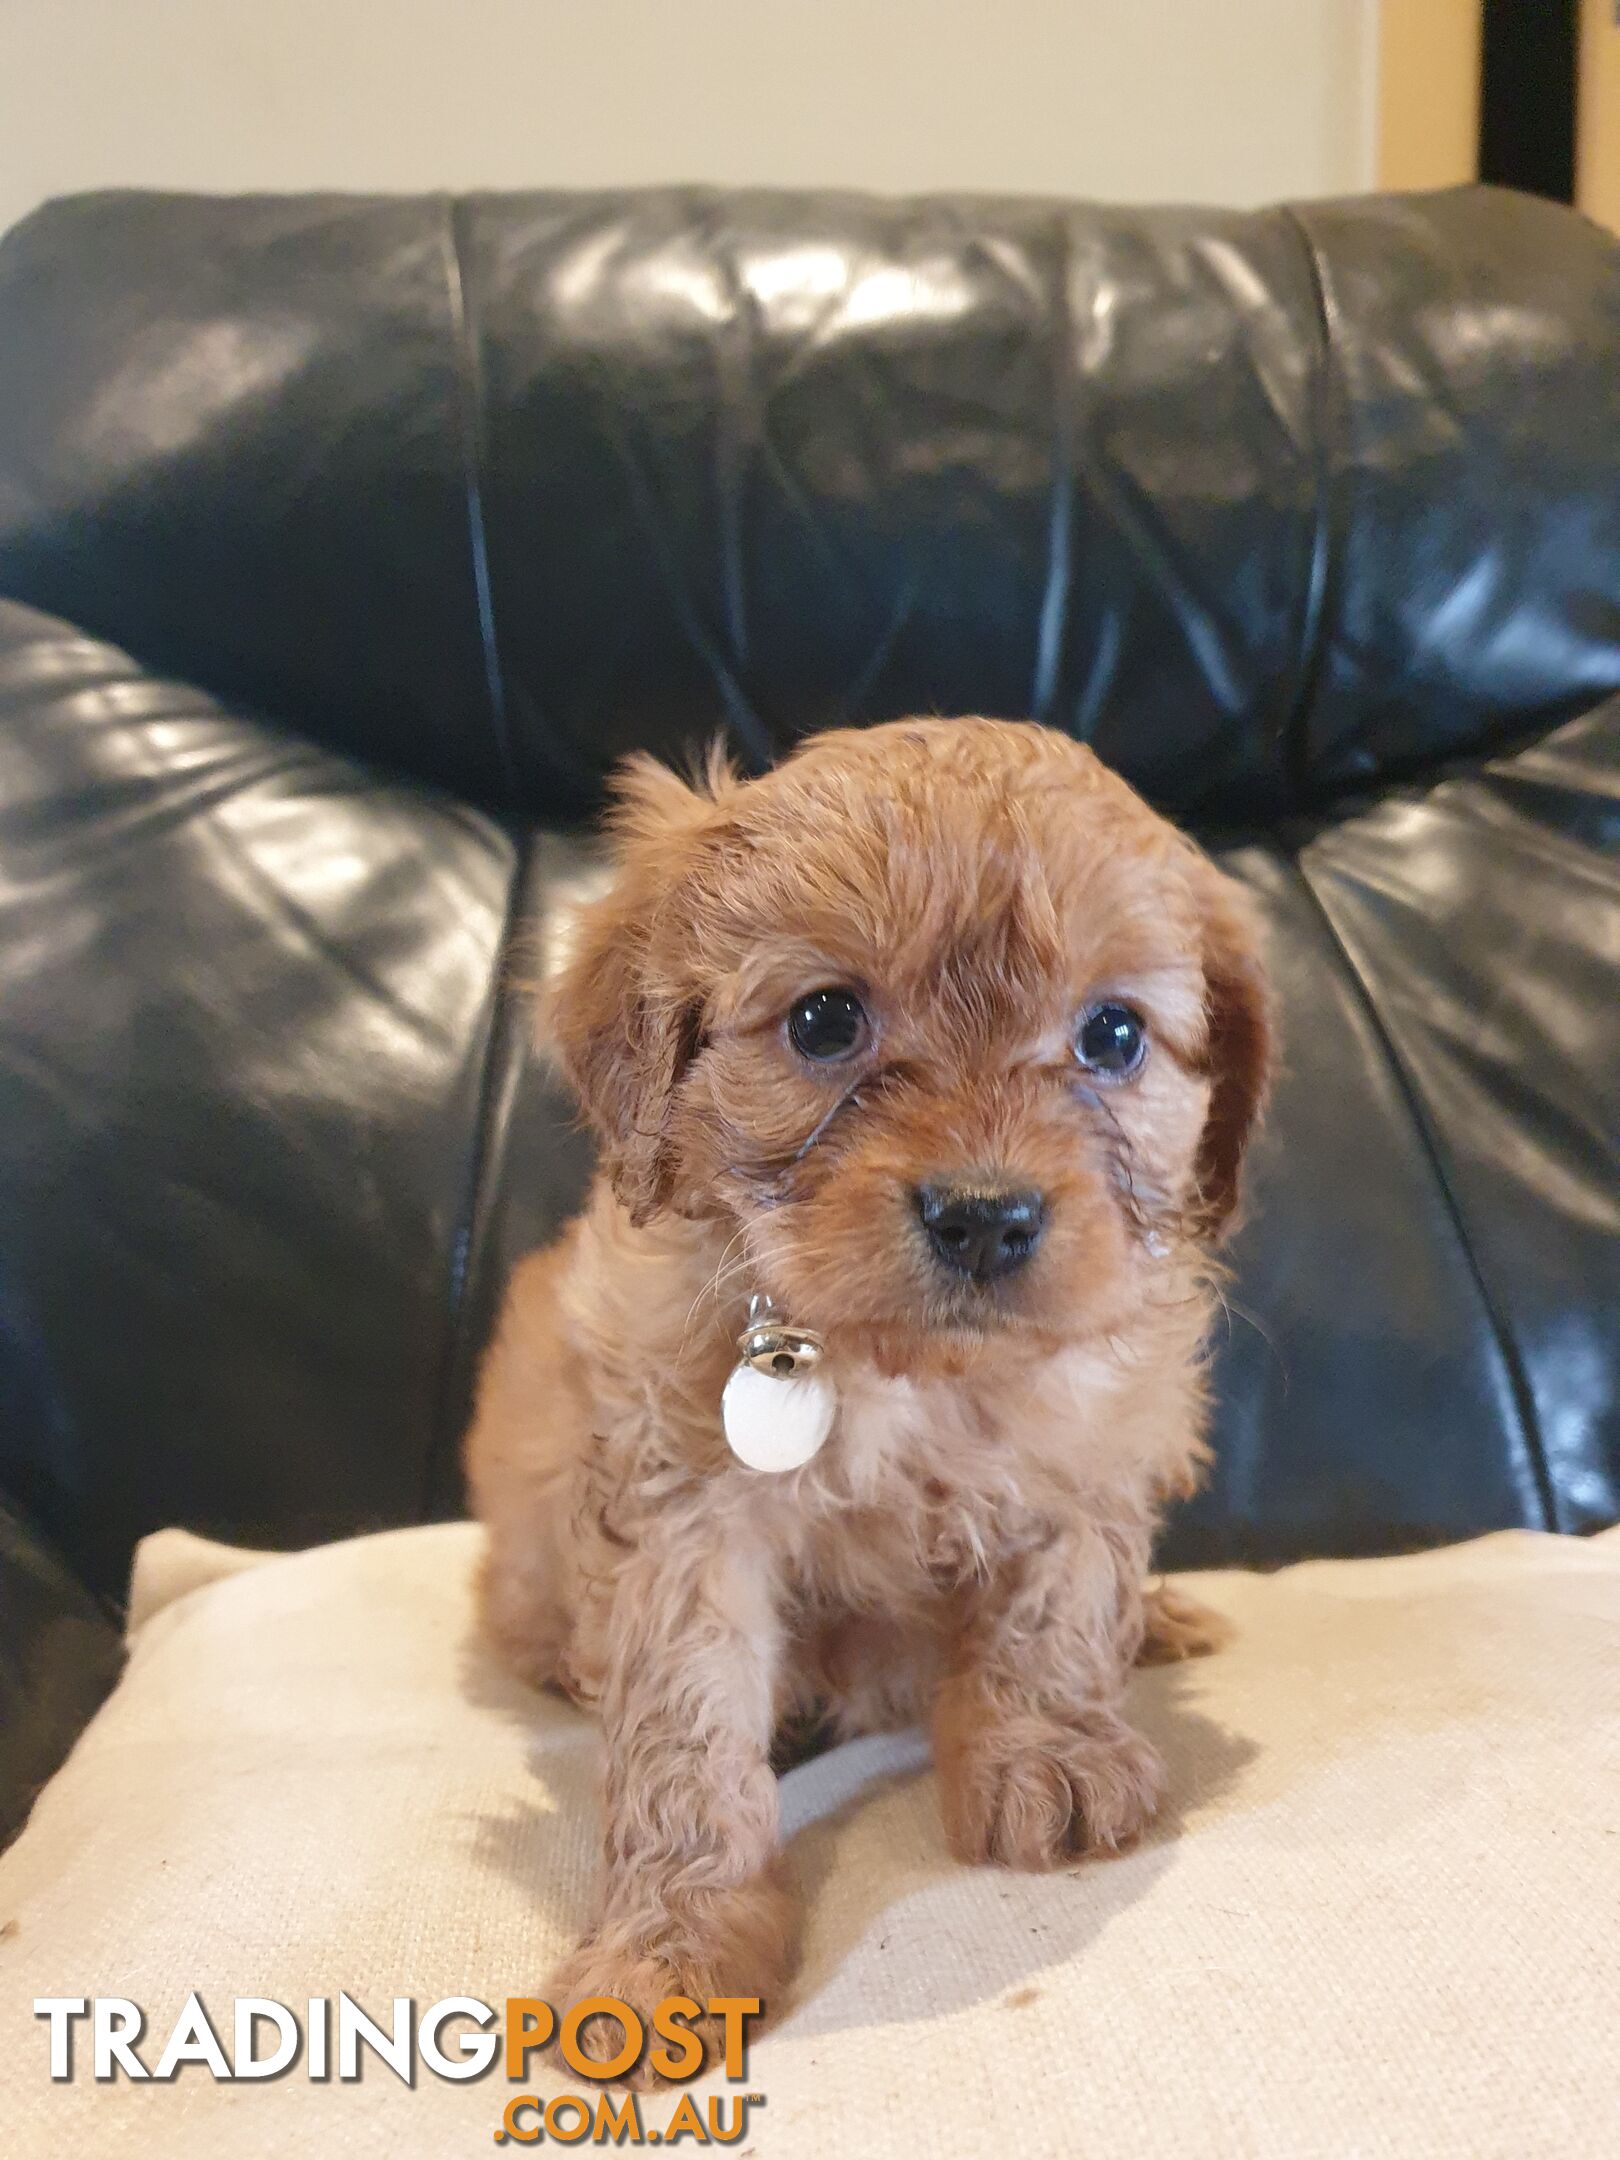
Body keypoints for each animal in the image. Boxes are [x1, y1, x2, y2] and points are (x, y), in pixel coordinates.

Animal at [462, 717, 1278, 2064]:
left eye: (1114, 1035)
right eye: (825, 1019)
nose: (986, 1216)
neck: (907, 1373)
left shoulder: (1091, 1441)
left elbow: (1058, 1605)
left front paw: (1045, 1753)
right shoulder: (680, 1517)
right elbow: (684, 1728)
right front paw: (671, 1941)